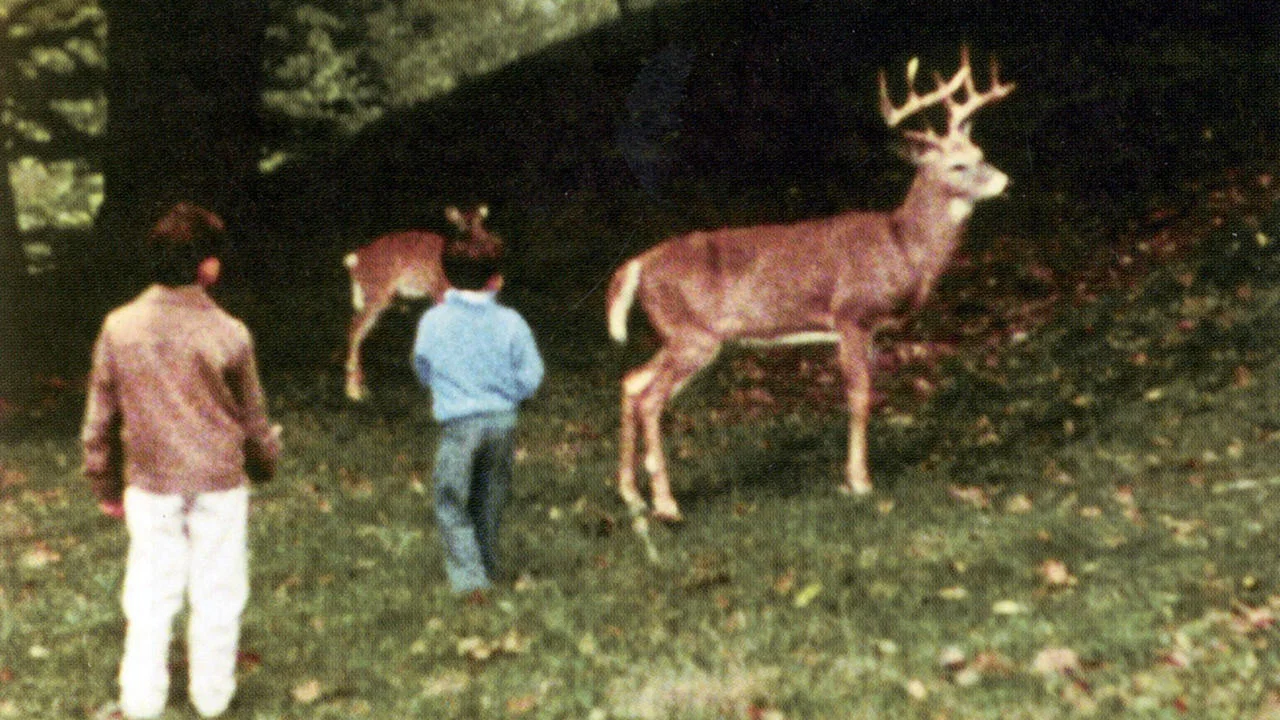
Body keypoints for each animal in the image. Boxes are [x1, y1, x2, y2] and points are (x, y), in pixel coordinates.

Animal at [343, 205, 494, 401]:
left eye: (479, 223)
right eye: (458, 224)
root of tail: (355, 260)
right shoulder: (439, 291)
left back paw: (359, 388)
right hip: (376, 292)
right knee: (355, 328)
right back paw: (352, 391)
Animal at [606, 48, 1014, 522]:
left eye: (981, 152)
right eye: (957, 165)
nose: (1005, 181)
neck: (904, 245)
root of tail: (638, 265)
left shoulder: (871, 329)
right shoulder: (851, 315)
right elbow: (859, 396)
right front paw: (858, 482)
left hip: (676, 335)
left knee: (631, 382)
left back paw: (632, 495)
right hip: (693, 336)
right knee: (650, 399)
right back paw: (666, 504)